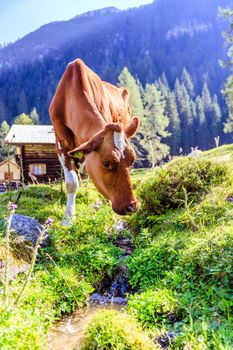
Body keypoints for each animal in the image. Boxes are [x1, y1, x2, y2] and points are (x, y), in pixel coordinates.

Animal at [49, 58, 140, 226]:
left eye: (132, 161)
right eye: (106, 163)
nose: (132, 206)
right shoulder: (60, 140)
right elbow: (71, 183)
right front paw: (68, 220)